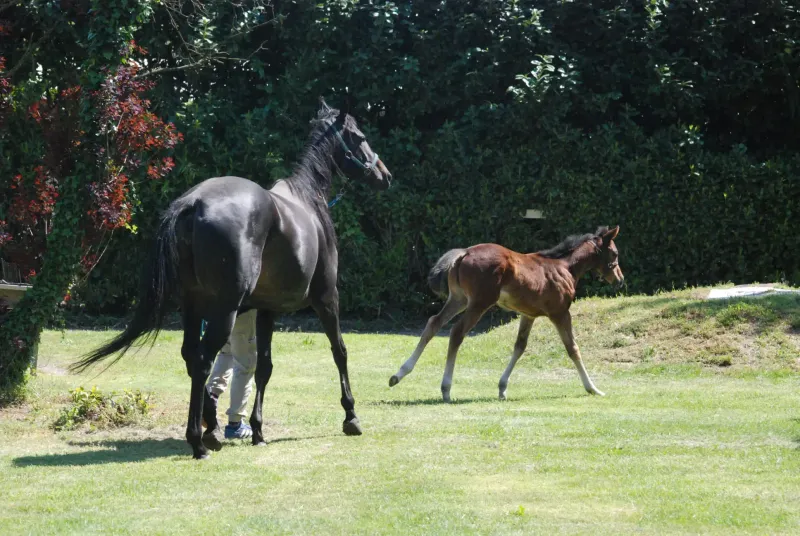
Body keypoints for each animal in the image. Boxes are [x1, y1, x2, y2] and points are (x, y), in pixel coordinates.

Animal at [72, 99, 392, 459]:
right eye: (359, 136)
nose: (385, 175)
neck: (307, 202)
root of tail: (193, 203)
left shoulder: (266, 309)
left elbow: (264, 367)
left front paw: (258, 429)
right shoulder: (327, 297)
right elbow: (340, 351)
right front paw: (351, 415)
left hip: (193, 306)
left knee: (191, 357)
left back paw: (209, 428)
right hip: (224, 311)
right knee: (202, 361)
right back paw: (199, 441)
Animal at [389, 226, 623, 402]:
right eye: (614, 253)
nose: (619, 279)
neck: (564, 267)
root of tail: (465, 252)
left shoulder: (528, 315)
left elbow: (520, 346)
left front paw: (502, 388)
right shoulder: (560, 312)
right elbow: (572, 348)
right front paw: (592, 388)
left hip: (458, 299)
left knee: (433, 323)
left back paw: (399, 374)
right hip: (479, 303)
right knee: (456, 333)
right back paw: (445, 389)